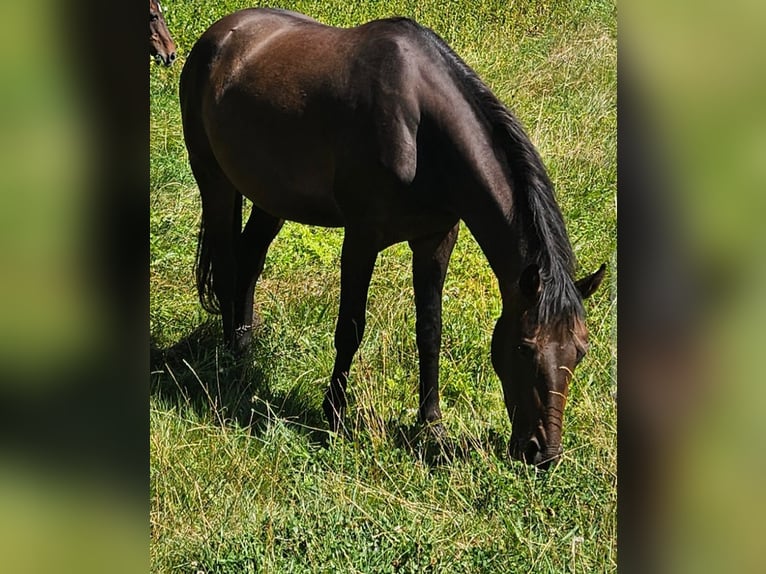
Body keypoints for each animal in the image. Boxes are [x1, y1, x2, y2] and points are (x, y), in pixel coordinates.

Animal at [179, 7, 606, 468]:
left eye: (580, 351)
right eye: (525, 347)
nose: (542, 453)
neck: (420, 131)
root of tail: (220, 34)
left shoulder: (436, 239)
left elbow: (430, 330)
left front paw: (432, 422)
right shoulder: (362, 239)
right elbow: (350, 327)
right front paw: (333, 414)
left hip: (270, 197)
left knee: (250, 258)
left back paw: (243, 345)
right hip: (214, 179)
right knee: (226, 264)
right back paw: (228, 363)